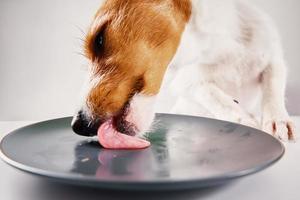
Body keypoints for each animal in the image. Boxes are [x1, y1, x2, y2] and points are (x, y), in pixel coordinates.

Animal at [72, 0, 296, 142]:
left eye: (99, 39)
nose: (77, 126)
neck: (219, 51)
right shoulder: (187, 82)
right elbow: (215, 97)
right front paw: (246, 120)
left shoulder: (273, 59)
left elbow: (273, 90)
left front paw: (278, 121)